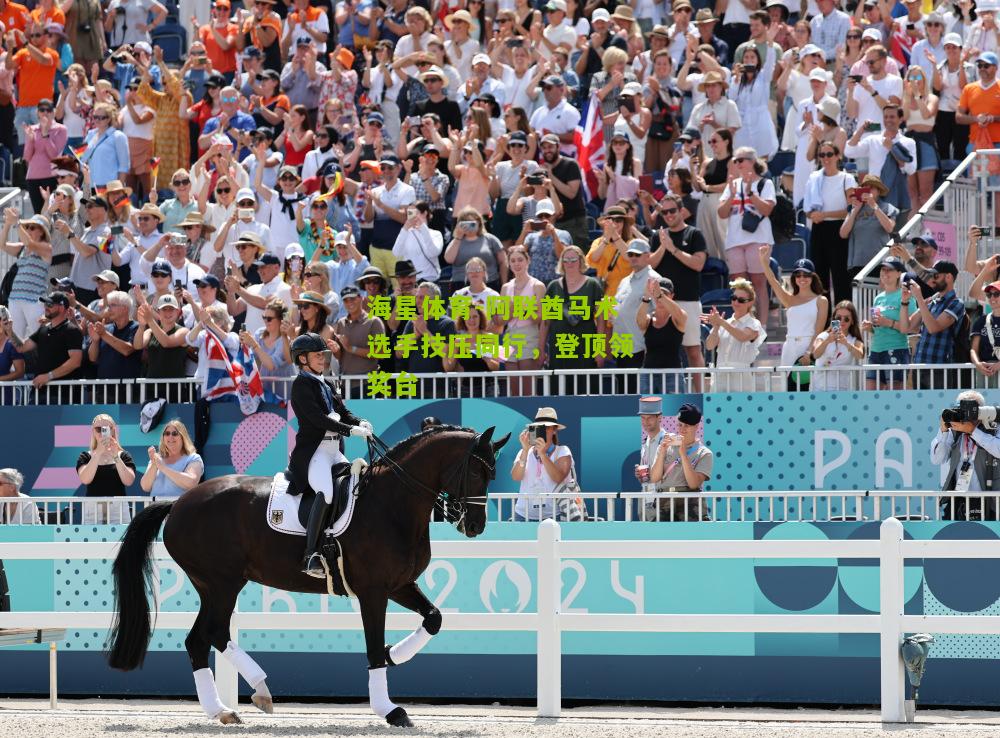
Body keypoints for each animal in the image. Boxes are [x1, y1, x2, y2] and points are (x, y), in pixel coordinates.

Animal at [111, 426, 508, 724]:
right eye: (476, 471)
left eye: (492, 473)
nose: (475, 525)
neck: (392, 503)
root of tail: (179, 502)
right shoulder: (373, 591)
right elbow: (372, 648)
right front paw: (390, 709)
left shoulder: (399, 585)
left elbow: (434, 618)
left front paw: (394, 654)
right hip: (221, 583)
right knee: (207, 635)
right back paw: (247, 697)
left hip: (215, 586)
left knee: (204, 638)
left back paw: (233, 705)